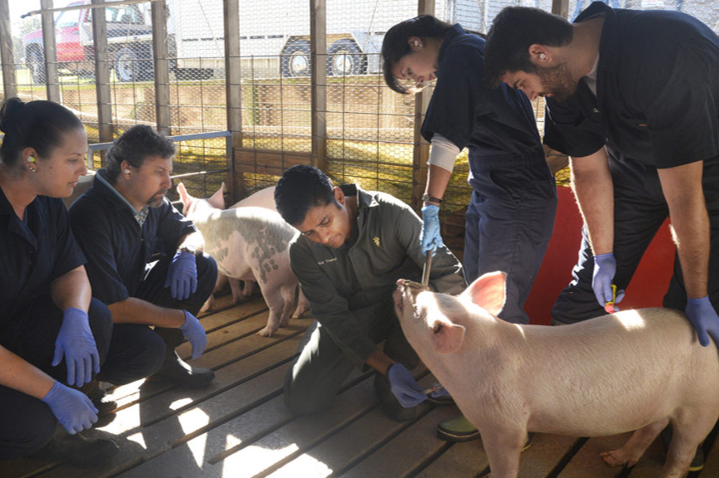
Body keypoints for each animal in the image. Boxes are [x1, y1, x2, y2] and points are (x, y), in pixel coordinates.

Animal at [180, 183, 306, 336]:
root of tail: (291, 238)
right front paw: (236, 298)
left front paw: (205, 309)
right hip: (289, 277)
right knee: (289, 300)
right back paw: (285, 322)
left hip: (266, 273)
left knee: (278, 304)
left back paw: (265, 332)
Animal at [394, 272, 719, 478]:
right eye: (435, 295)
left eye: (419, 309)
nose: (404, 281)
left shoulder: (504, 422)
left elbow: (506, 461)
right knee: (655, 425)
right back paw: (612, 459)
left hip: (701, 404)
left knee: (682, 452)